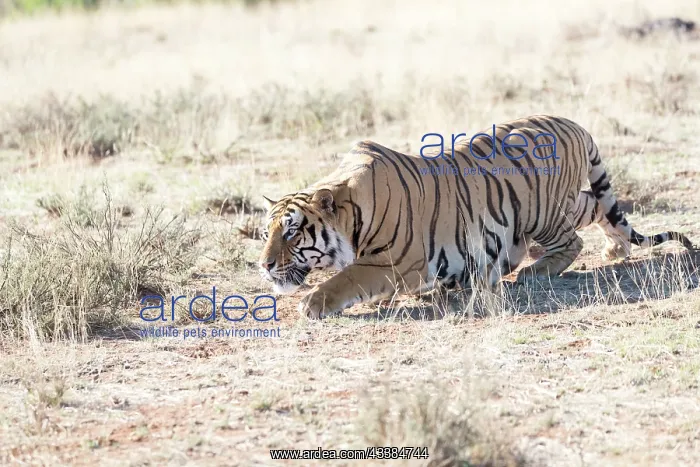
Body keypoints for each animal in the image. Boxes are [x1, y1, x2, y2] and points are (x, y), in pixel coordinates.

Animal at [258, 115, 694, 319]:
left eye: (292, 233)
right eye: (267, 233)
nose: (264, 266)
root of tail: (576, 124)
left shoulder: (392, 262)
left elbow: (345, 278)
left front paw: (313, 303)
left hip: (541, 212)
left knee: (573, 239)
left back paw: (536, 269)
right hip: (559, 205)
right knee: (597, 204)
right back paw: (615, 249)